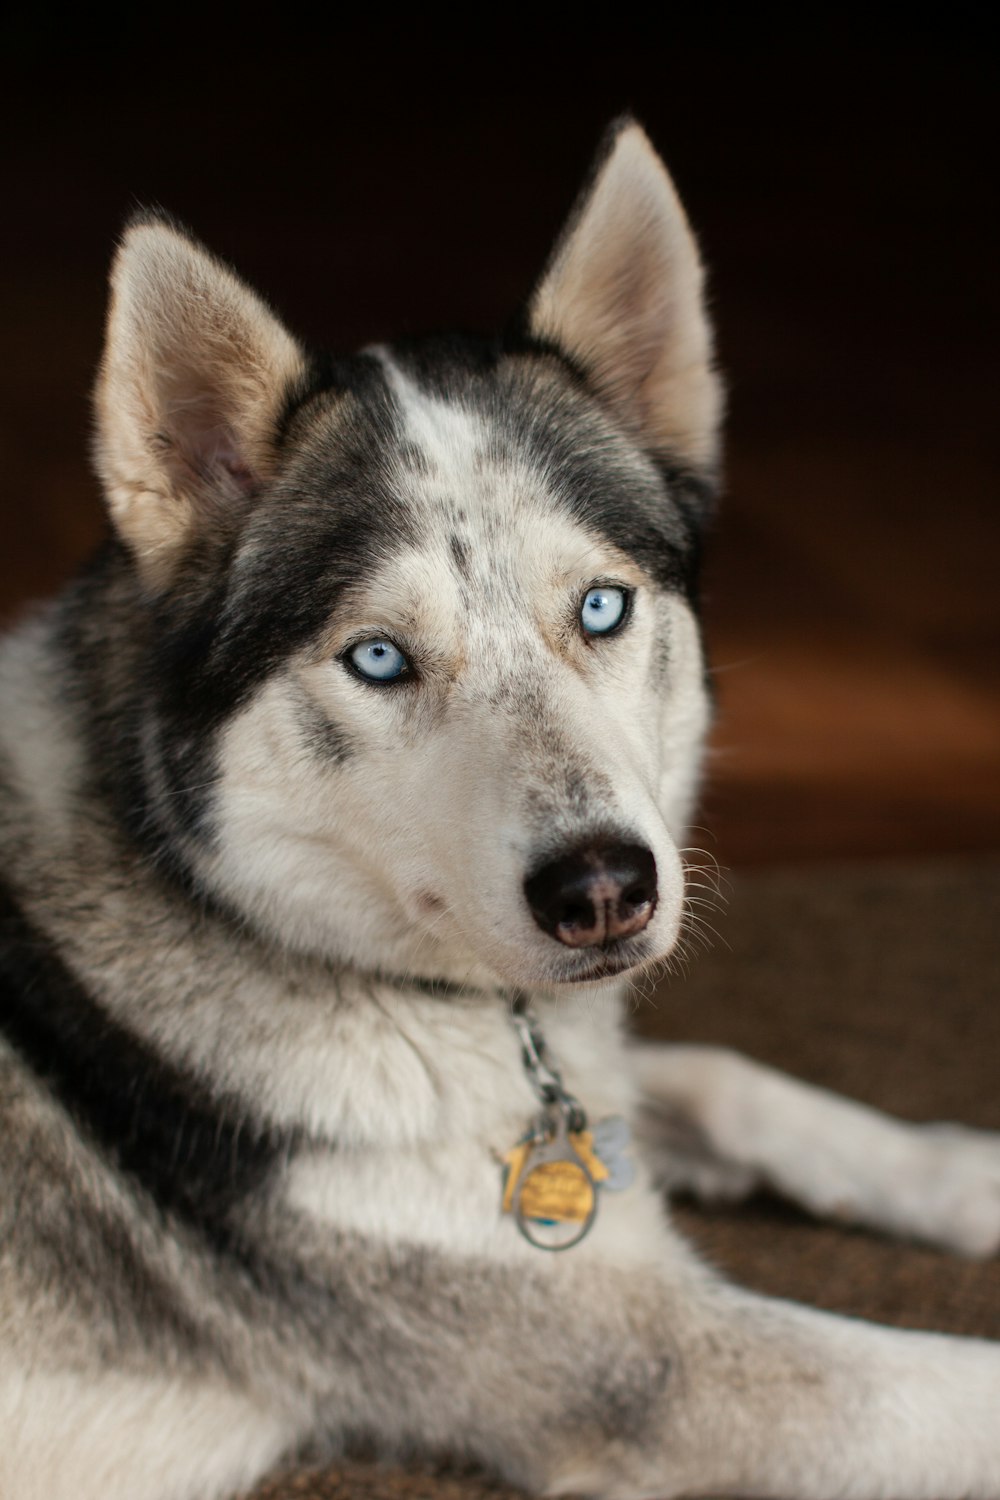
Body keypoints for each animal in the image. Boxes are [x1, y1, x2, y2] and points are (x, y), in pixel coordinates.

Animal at [1, 123, 1000, 1500]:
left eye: (600, 607)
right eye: (377, 659)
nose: (604, 892)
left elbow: (727, 1078)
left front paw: (967, 1174)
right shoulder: (650, 1373)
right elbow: (962, 1386)